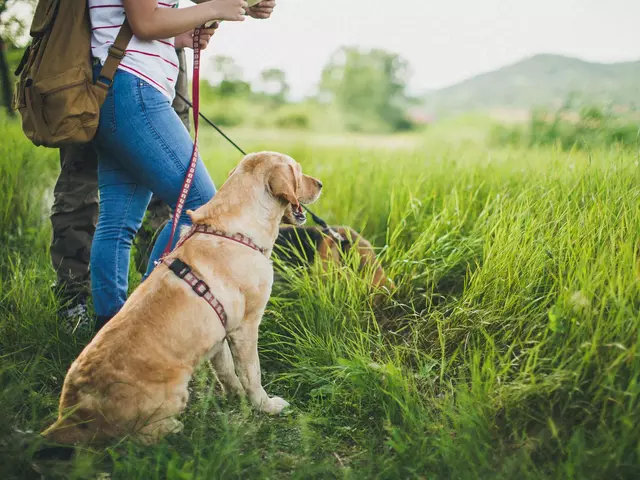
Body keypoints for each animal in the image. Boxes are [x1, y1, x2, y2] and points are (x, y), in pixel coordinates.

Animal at [42, 152, 322, 444]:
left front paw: (236, 398)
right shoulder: (246, 328)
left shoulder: (220, 335)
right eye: (298, 171)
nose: (321, 184)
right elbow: (251, 374)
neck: (235, 232)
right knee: (139, 437)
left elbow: (226, 371)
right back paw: (174, 429)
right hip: (174, 394)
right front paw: (266, 406)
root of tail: (71, 415)